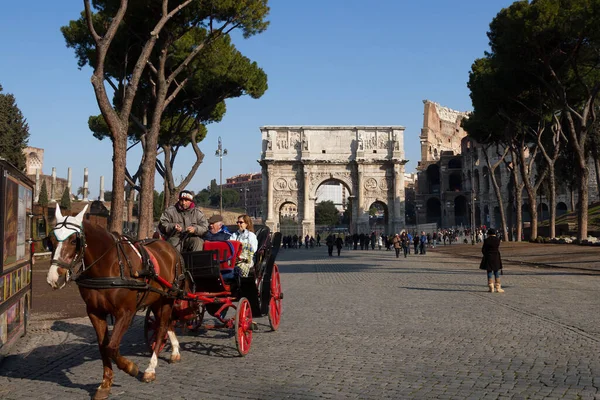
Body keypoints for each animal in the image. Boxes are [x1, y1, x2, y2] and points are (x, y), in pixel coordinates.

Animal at [45, 205, 183, 398]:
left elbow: (111, 347)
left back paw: (151, 369)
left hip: (168, 297)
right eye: (51, 240)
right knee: (166, 323)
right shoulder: (95, 312)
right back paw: (175, 351)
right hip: (156, 299)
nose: (54, 278)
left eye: (73, 240)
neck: (108, 265)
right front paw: (105, 384)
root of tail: (169, 247)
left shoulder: (126, 313)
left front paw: (132, 368)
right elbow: (103, 347)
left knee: (162, 326)